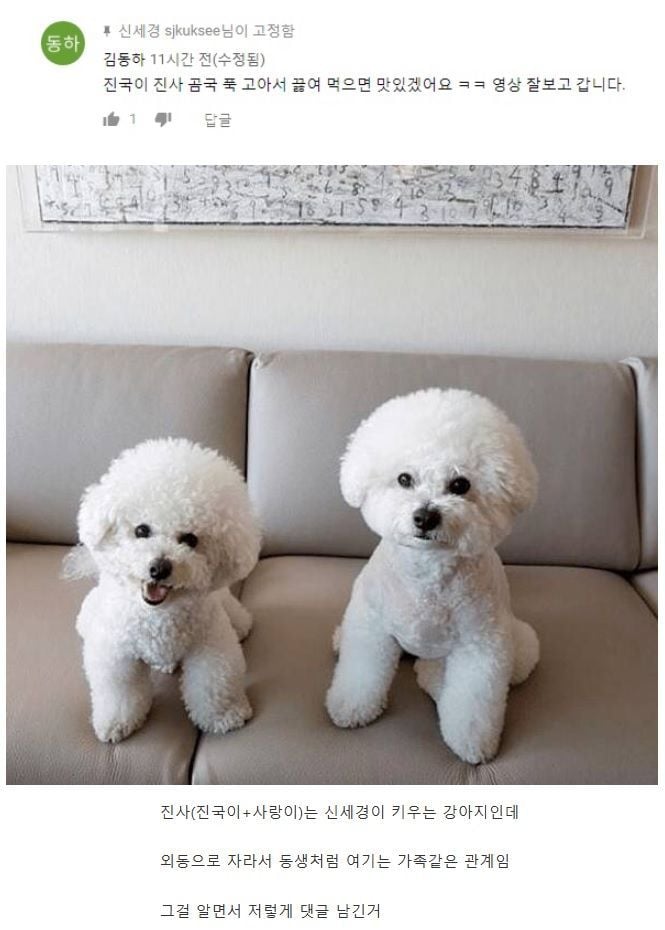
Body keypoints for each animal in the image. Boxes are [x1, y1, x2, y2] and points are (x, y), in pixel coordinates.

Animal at [65, 438, 261, 743]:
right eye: (141, 530)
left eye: (190, 539)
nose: (159, 568)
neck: (160, 615)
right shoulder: (116, 654)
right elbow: (120, 689)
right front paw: (116, 722)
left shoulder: (211, 645)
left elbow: (214, 681)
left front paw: (225, 716)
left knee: (237, 621)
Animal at [326, 388, 539, 764]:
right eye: (404, 479)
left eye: (460, 484)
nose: (425, 517)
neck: (426, 573)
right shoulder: (371, 624)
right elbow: (362, 670)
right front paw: (350, 706)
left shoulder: (481, 644)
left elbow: (473, 701)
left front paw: (472, 742)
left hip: (515, 642)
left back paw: (432, 678)